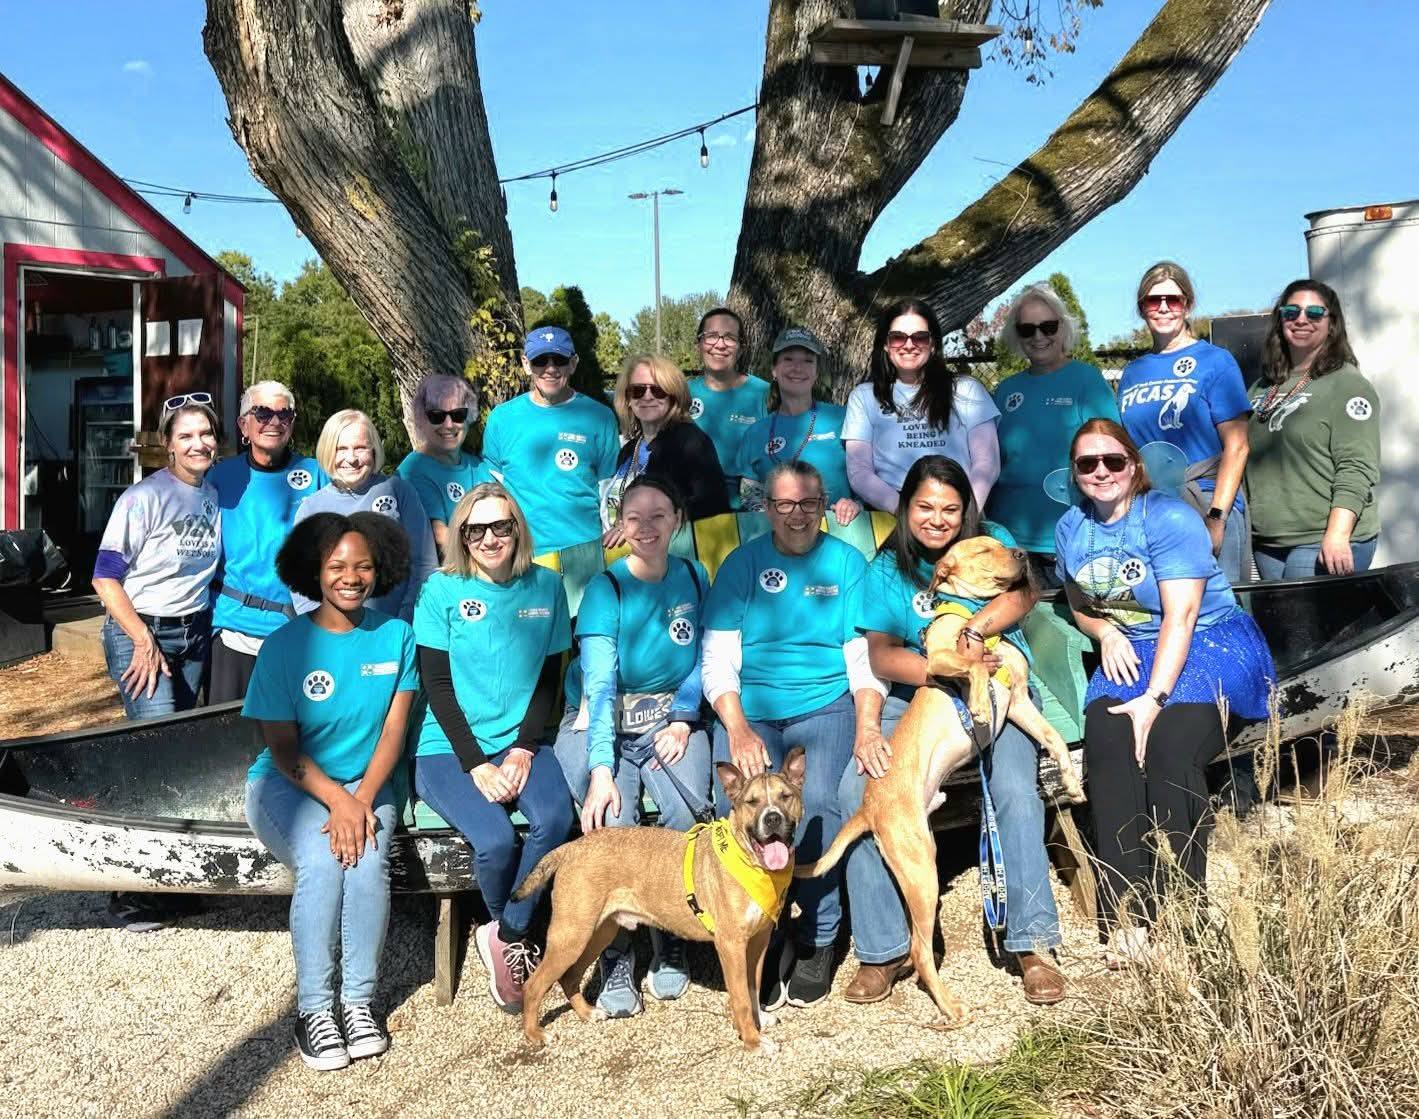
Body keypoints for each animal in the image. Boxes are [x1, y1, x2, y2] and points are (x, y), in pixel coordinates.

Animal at [515, 747, 806, 1052]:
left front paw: (759, 1019)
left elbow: (753, 986)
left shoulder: (758, 941)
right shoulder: (732, 945)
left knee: (569, 976)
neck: (751, 861)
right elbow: (740, 998)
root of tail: (571, 847)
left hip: (598, 932)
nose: (772, 818)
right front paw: (752, 1039)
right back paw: (535, 1034)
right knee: (533, 985)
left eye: (786, 796)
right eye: (752, 802)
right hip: (571, 935)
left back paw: (587, 1013)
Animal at [797, 535, 1085, 1026]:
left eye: (1000, 543)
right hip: (920, 868)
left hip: (920, 863)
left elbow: (1056, 742)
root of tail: (868, 808)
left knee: (918, 943)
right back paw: (949, 1005)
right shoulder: (945, 658)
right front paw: (979, 704)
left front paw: (1072, 781)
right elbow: (974, 670)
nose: (1024, 554)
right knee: (918, 946)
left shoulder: (1020, 703)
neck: (974, 615)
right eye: (984, 550)